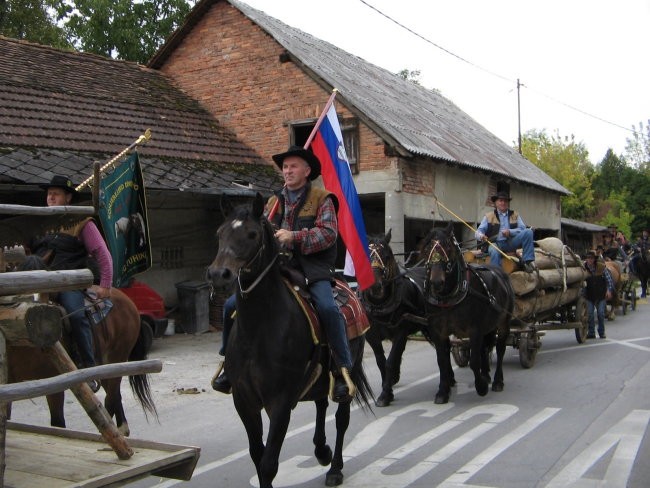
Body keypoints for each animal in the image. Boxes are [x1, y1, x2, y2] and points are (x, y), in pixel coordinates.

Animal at [8, 260, 156, 434]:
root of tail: (127, 300)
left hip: (116, 358)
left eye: (46, 293)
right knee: (114, 396)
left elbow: (58, 424)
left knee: (111, 398)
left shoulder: (55, 384)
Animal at [205, 194, 372, 488]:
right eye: (219, 233)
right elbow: (257, 456)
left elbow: (269, 464)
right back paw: (321, 450)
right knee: (320, 403)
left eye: (252, 234)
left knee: (341, 418)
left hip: (349, 370)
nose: (218, 275)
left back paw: (335, 468)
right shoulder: (244, 401)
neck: (259, 329)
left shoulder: (280, 403)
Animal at [360, 231, 430, 406]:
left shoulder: (401, 331)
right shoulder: (372, 335)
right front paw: (388, 386)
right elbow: (381, 361)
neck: (380, 305)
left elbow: (390, 361)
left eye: (386, 255)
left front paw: (385, 394)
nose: (374, 285)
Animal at [418, 224, 512, 404]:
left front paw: (481, 387)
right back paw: (486, 375)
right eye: (426, 249)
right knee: (485, 347)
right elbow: (442, 361)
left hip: (504, 322)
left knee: (500, 348)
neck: (449, 297)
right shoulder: (438, 332)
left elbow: (474, 361)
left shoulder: (474, 329)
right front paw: (442, 392)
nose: (436, 281)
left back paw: (497, 381)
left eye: (448, 246)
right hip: (488, 326)